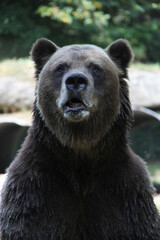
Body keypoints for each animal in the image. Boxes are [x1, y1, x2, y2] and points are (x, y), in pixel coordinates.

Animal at [0, 38, 160, 239]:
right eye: (60, 67)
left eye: (96, 68)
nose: (76, 80)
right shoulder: (35, 191)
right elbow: (27, 225)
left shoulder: (124, 193)